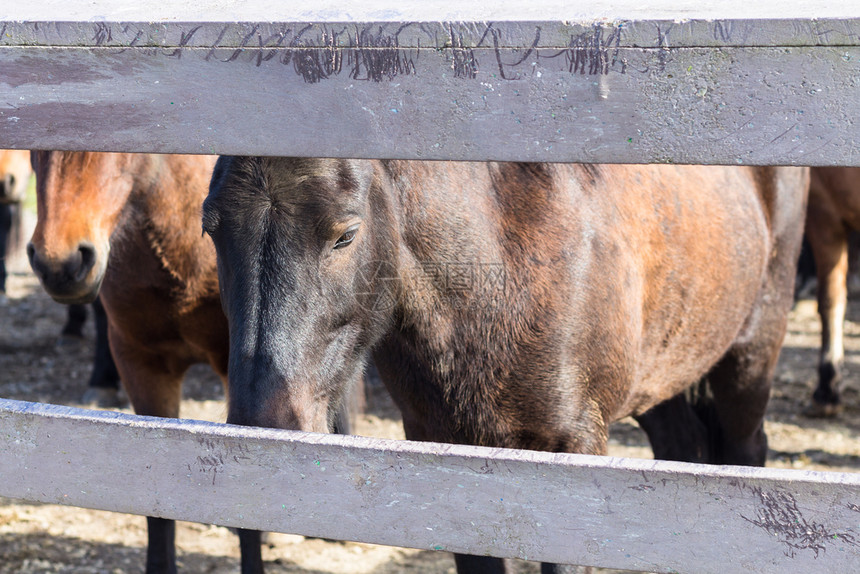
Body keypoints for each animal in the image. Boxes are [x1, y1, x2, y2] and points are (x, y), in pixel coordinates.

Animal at [205, 159, 808, 574]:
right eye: (212, 227)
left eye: (345, 234)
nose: (263, 428)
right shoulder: (445, 445)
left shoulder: (573, 450)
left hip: (749, 358)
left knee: (745, 451)